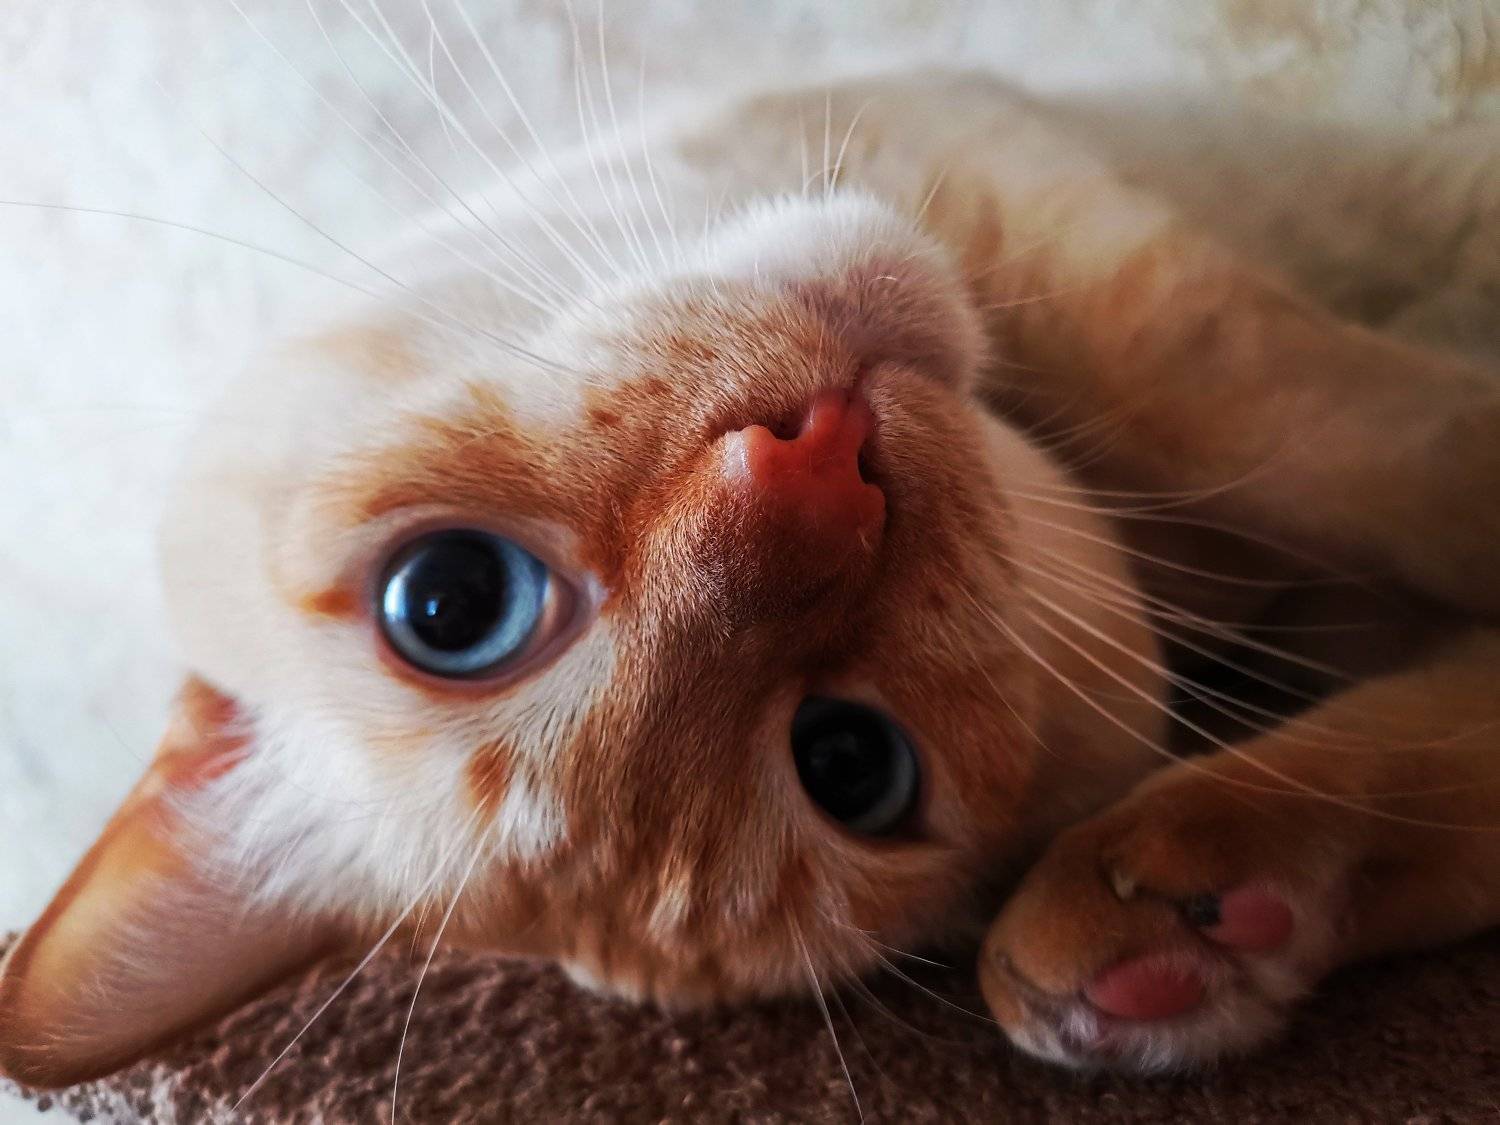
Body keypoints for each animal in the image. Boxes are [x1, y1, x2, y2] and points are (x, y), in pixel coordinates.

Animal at [2, 69, 1498, 1088]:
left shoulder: (1018, 199)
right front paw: (1186, 942)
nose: (819, 468)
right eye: (848, 762)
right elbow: (1441, 750)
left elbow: (1324, 426)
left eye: (450, 602)